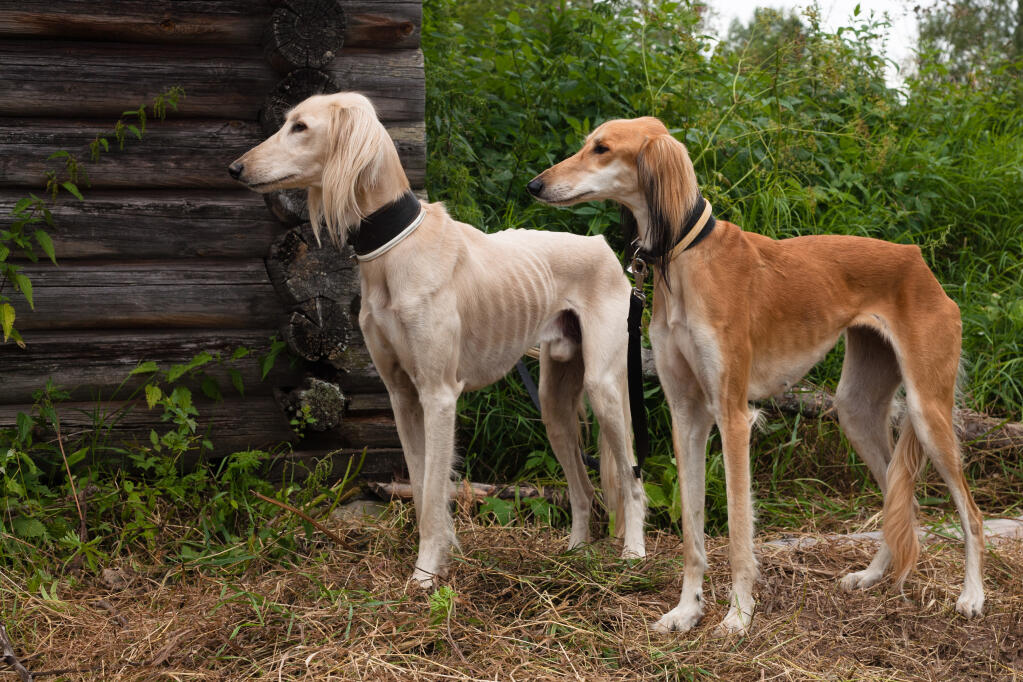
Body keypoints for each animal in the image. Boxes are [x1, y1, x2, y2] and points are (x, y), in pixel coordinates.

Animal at [230, 93, 646, 588]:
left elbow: (432, 491)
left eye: (300, 127)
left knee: (632, 479)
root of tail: (603, 246)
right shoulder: (402, 395)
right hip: (553, 405)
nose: (235, 168)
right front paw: (441, 556)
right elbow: (419, 484)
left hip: (604, 388)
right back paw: (575, 553)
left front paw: (426, 574)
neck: (393, 249)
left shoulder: (439, 395)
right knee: (582, 489)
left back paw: (634, 553)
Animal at [527, 116, 982, 633]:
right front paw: (686, 611)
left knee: (970, 512)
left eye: (601, 149)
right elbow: (693, 530)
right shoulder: (687, 415)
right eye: (588, 144)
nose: (535, 185)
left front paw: (738, 615)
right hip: (856, 408)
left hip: (928, 409)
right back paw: (870, 577)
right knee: (898, 499)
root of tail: (918, 261)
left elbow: (738, 527)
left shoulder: (733, 415)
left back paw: (972, 596)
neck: (688, 258)